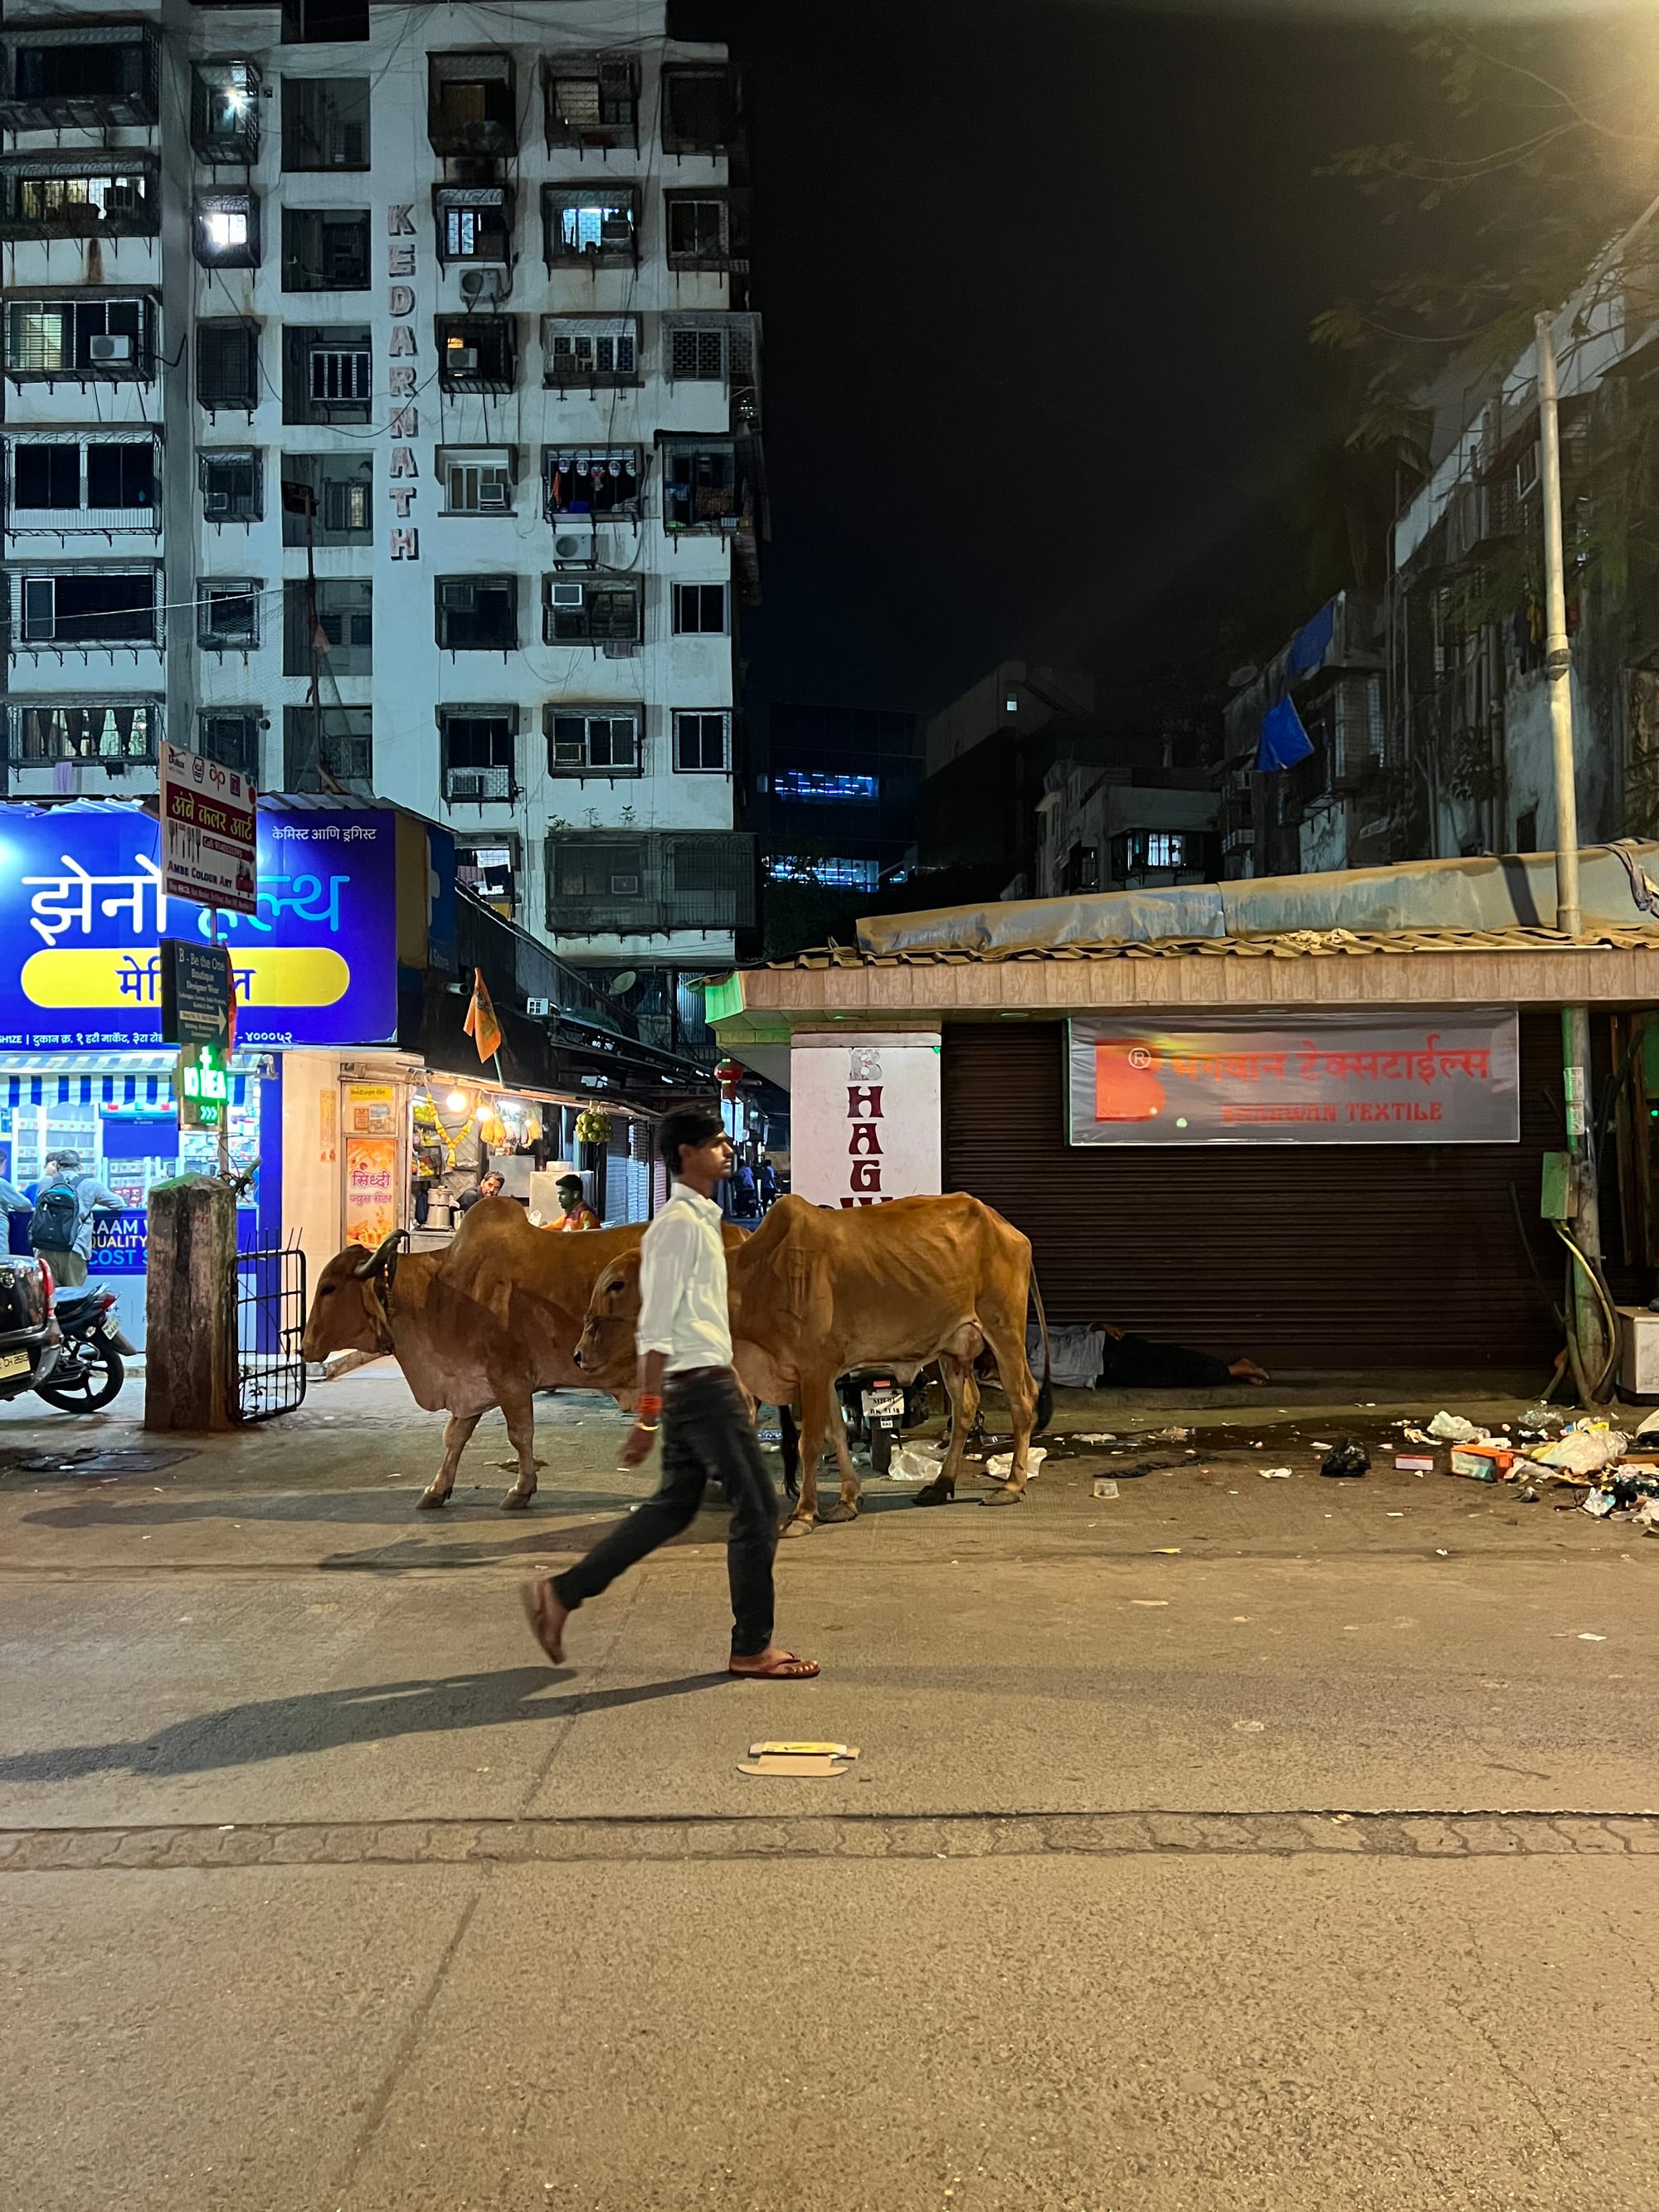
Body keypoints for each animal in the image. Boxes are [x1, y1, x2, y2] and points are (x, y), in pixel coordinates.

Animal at [571, 1194, 1053, 1539]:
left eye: (617, 1284)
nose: (578, 1355)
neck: (751, 1282)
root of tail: (1007, 1228)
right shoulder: (822, 1374)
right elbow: (836, 1434)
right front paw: (846, 1502)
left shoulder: (813, 1370)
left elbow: (808, 1444)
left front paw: (803, 1514)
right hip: (954, 1350)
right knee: (966, 1406)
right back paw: (941, 1485)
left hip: (1004, 1329)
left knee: (1022, 1398)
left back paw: (1010, 1486)